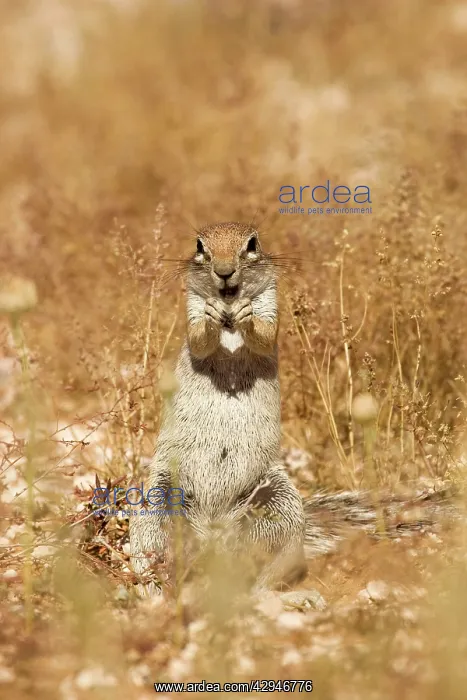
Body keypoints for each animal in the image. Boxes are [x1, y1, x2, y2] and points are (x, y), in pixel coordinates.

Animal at [129, 222, 452, 593]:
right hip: (157, 500)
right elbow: (199, 339)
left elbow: (264, 334)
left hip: (279, 503)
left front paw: (248, 317)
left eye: (252, 244)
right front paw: (212, 318)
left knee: (270, 565)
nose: (224, 272)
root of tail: (215, 539)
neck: (229, 314)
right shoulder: (192, 308)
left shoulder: (271, 305)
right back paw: (156, 587)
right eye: (200, 246)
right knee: (153, 550)